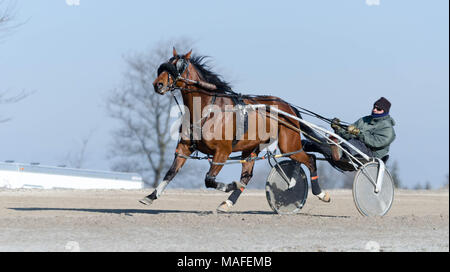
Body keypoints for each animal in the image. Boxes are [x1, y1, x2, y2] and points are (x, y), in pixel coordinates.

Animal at [138, 48, 330, 212]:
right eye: (165, 65)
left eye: (179, 66)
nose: (157, 84)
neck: (207, 109)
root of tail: (288, 106)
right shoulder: (185, 147)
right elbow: (171, 172)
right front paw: (151, 196)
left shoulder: (222, 152)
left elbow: (209, 180)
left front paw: (230, 185)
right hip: (251, 148)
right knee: (247, 176)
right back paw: (227, 202)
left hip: (289, 145)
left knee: (310, 159)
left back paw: (320, 193)